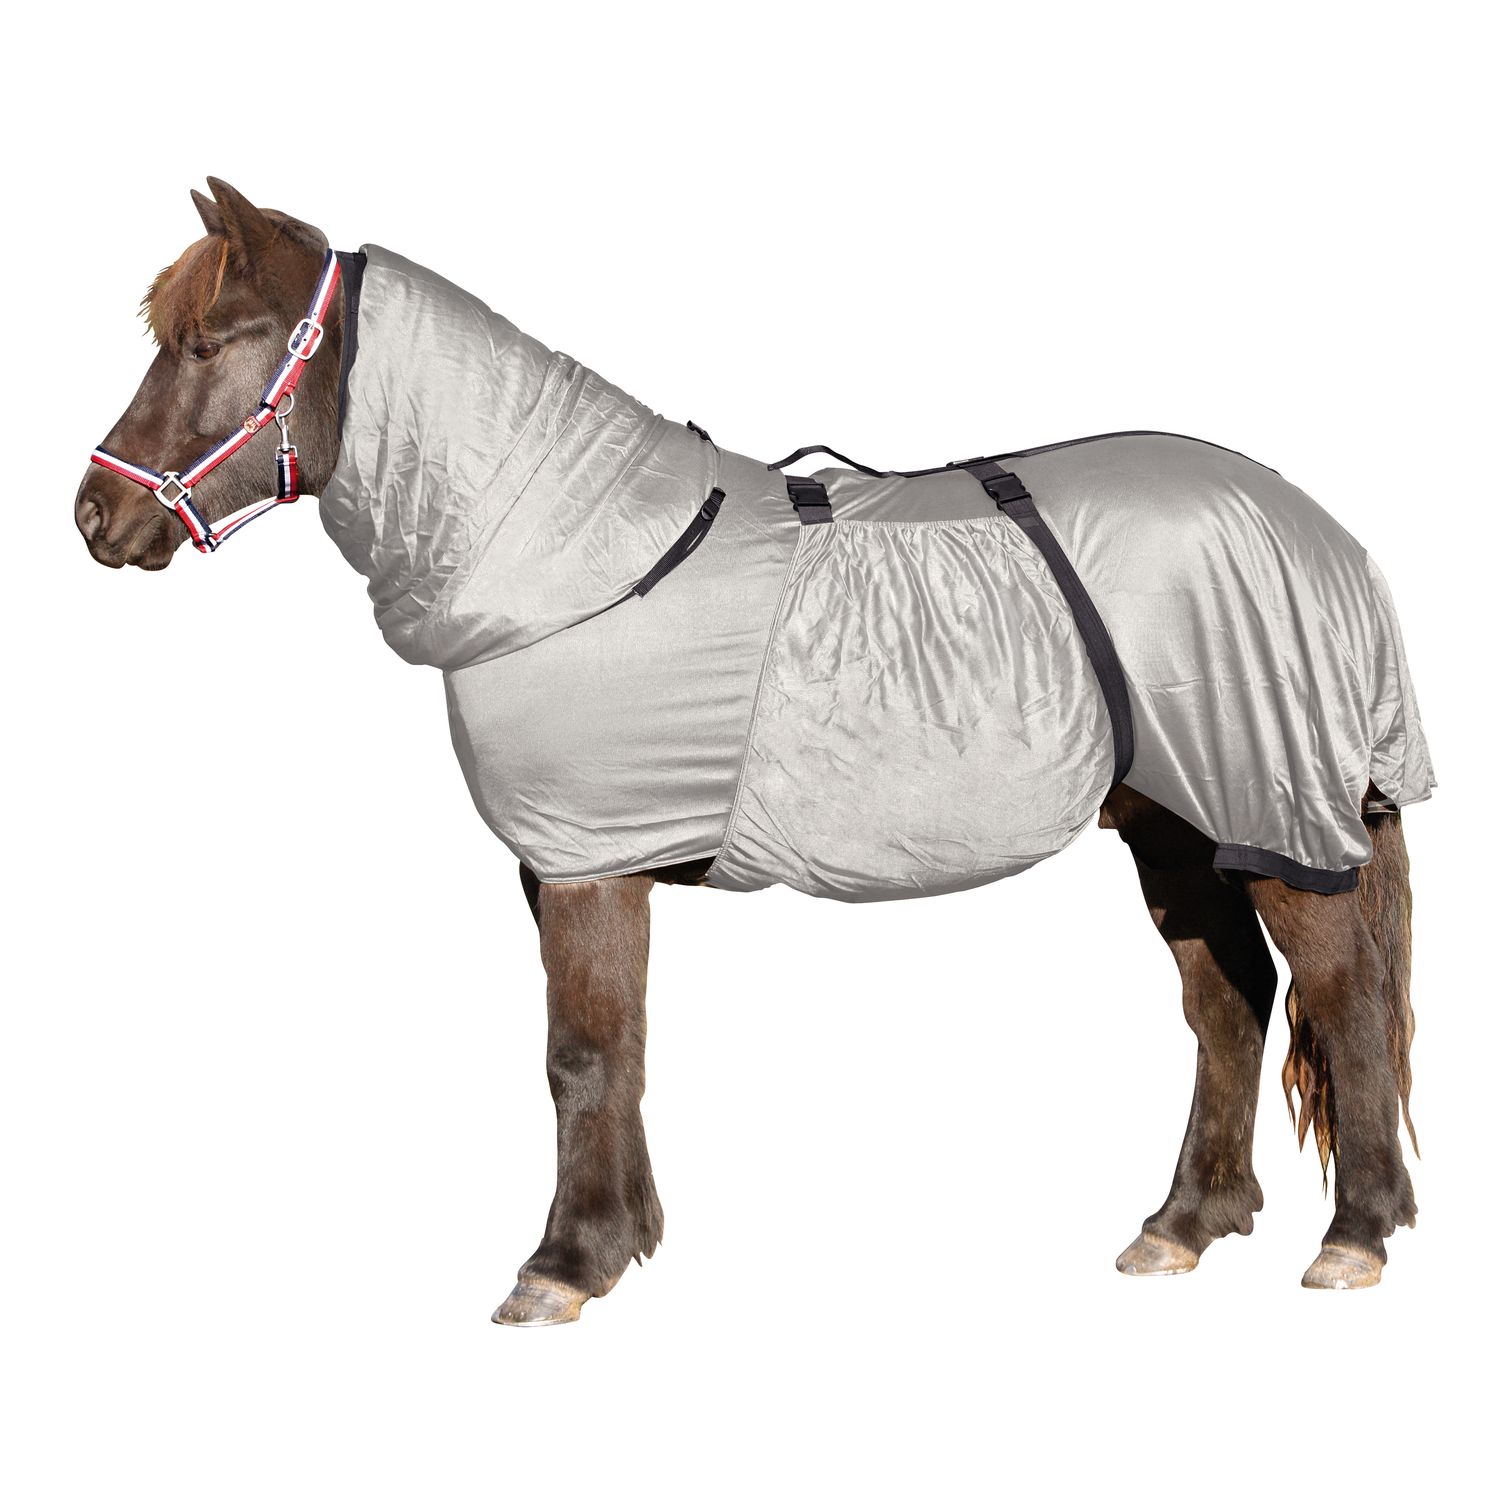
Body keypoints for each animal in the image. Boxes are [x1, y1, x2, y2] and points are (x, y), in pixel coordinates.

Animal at [75, 179, 1430, 1324]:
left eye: (210, 342)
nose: (95, 515)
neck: (569, 553)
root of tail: (1320, 531)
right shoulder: (579, 862)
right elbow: (615, 1052)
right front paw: (624, 1240)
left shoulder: (588, 861)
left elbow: (579, 1055)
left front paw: (564, 1263)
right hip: (1175, 825)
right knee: (1229, 1002)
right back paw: (1184, 1223)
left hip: (1273, 815)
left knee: (1344, 997)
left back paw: (1353, 1238)